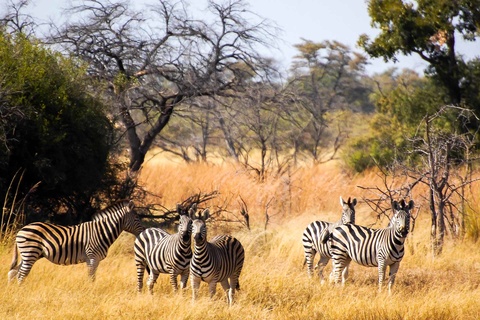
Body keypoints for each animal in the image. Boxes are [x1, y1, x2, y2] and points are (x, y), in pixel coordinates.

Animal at [7, 199, 143, 284]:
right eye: (137, 217)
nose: (143, 231)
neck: (101, 232)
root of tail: (21, 230)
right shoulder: (92, 258)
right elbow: (91, 278)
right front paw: (90, 293)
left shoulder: (94, 260)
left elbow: (92, 278)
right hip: (30, 253)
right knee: (21, 274)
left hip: (28, 255)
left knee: (13, 272)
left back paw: (14, 292)